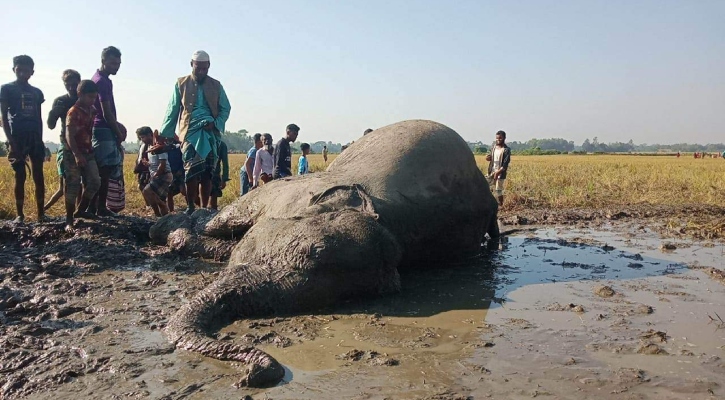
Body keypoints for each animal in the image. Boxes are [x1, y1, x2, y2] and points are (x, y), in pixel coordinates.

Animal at [154, 119, 498, 388]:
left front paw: (174, 235)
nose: (252, 375)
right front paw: (169, 231)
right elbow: (220, 225)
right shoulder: (280, 191)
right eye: (312, 251)